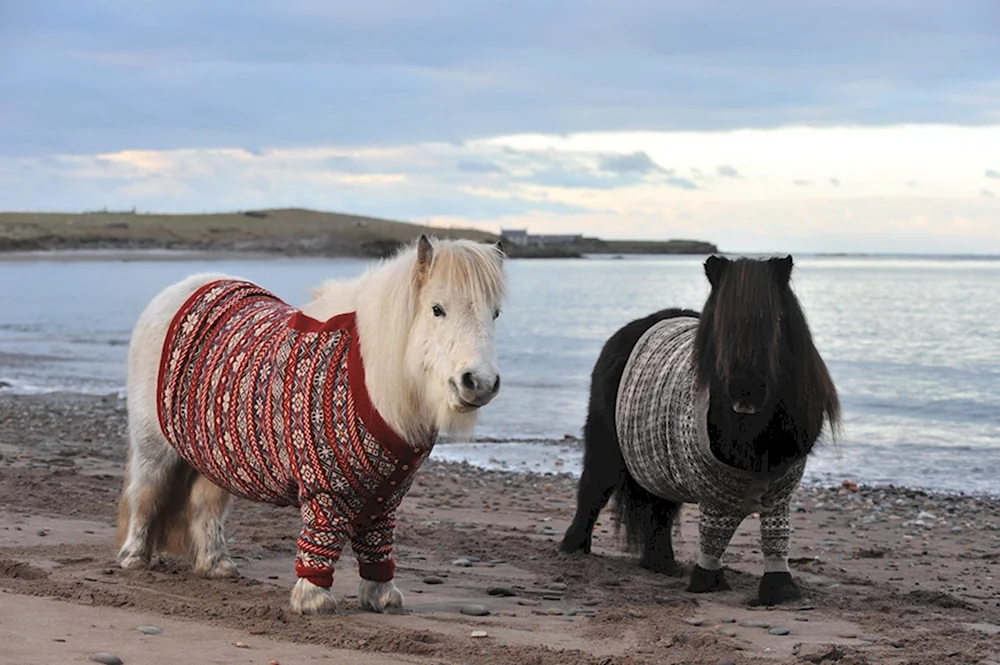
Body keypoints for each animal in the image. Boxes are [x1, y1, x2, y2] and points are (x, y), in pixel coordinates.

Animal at [115, 236, 508, 616]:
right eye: (437, 309)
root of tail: (180, 290)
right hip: (154, 446)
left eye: (495, 313)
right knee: (146, 492)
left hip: (216, 454)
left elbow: (377, 542)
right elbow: (322, 537)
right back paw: (134, 557)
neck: (369, 375)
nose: (479, 383)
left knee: (205, 504)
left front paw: (381, 595)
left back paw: (216, 564)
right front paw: (313, 598)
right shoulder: (325, 488)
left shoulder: (386, 494)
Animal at [560, 255, 840, 608]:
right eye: (720, 323)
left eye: (778, 319)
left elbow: (776, 538)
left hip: (660, 464)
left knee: (660, 510)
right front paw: (707, 581)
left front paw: (780, 589)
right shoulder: (712, 493)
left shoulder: (780, 492)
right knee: (593, 490)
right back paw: (574, 548)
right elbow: (713, 537)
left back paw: (660, 563)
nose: (746, 392)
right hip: (606, 446)